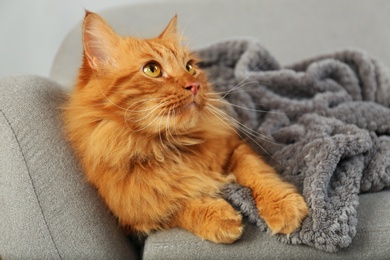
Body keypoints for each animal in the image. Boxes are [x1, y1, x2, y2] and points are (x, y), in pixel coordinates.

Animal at [63, 11, 308, 244]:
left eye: (190, 67)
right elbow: (177, 208)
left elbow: (260, 174)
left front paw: (283, 207)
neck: (171, 145)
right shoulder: (136, 215)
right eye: (152, 69)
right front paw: (219, 217)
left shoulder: (235, 148)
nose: (195, 85)